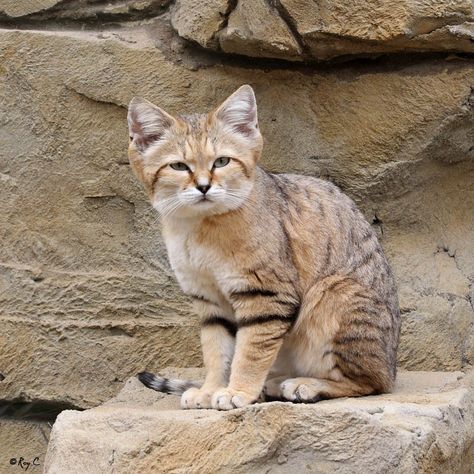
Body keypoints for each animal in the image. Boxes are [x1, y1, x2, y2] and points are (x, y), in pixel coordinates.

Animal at [127, 85, 400, 412]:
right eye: (179, 166)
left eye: (222, 162)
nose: (204, 186)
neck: (199, 228)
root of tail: (392, 366)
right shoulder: (209, 300)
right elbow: (217, 352)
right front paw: (211, 389)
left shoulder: (265, 294)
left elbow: (250, 351)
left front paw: (238, 391)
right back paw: (272, 385)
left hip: (334, 293)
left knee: (371, 384)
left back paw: (305, 385)